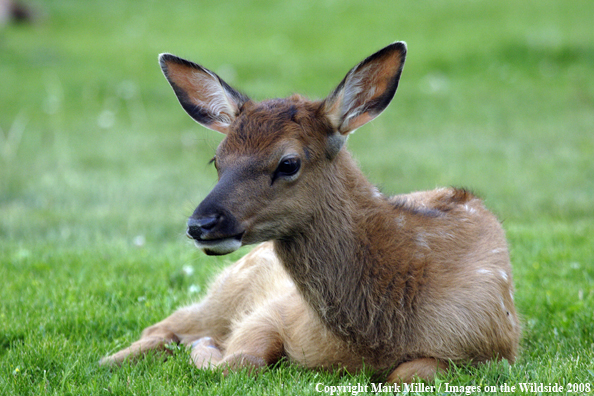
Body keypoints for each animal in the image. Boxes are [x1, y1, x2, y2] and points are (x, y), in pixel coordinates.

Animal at [100, 41, 520, 382]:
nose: (201, 224)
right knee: (161, 328)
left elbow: (409, 374)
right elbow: (240, 362)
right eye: (217, 160)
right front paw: (207, 350)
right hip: (227, 290)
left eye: (288, 163)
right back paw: (110, 361)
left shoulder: (493, 349)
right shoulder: (276, 309)